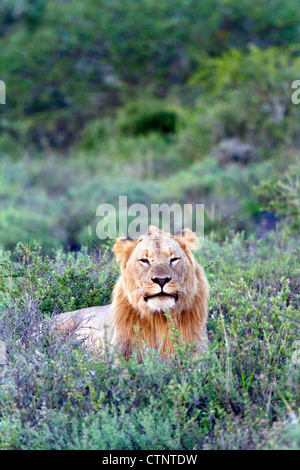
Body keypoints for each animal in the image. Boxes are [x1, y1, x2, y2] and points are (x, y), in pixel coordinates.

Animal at [53, 225, 209, 360]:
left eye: (174, 259)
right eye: (144, 260)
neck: (159, 320)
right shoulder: (121, 353)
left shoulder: (198, 350)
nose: (161, 280)